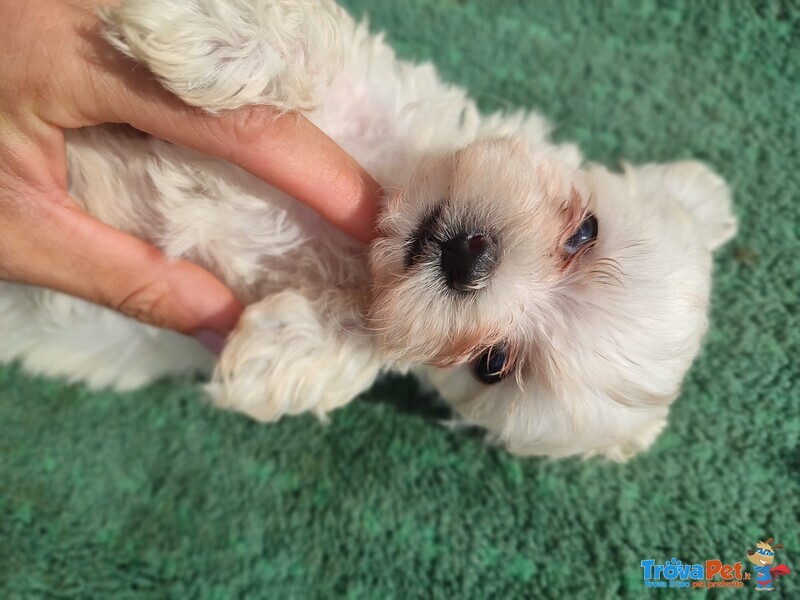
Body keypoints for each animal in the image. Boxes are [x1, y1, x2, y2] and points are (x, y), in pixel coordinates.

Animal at [0, 0, 736, 462]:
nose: (471, 258)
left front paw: (282, 351)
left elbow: (354, 341)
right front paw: (211, 34)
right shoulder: (372, 89)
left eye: (493, 364)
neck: (374, 232)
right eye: (585, 232)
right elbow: (315, 51)